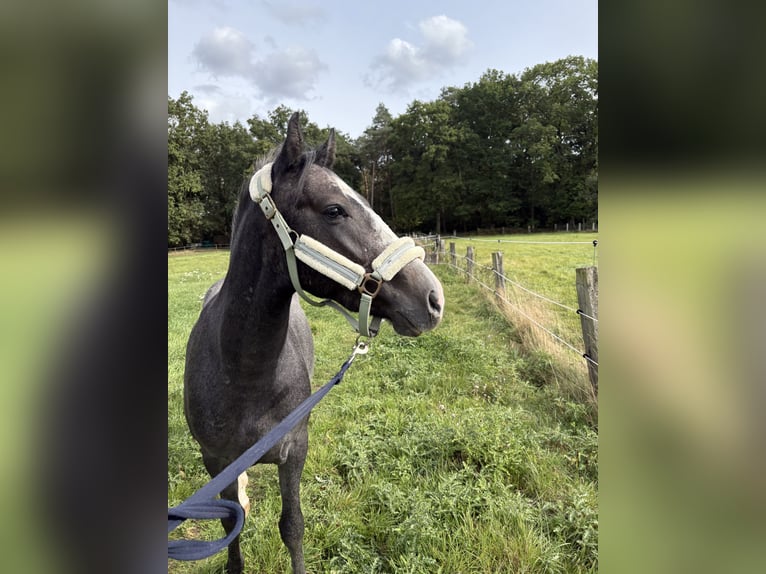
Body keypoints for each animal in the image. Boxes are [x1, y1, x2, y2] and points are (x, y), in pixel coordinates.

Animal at [183, 112, 444, 574]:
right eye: (334, 210)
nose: (433, 299)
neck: (244, 372)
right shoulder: (216, 460)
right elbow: (231, 527)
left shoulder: (295, 451)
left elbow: (292, 526)